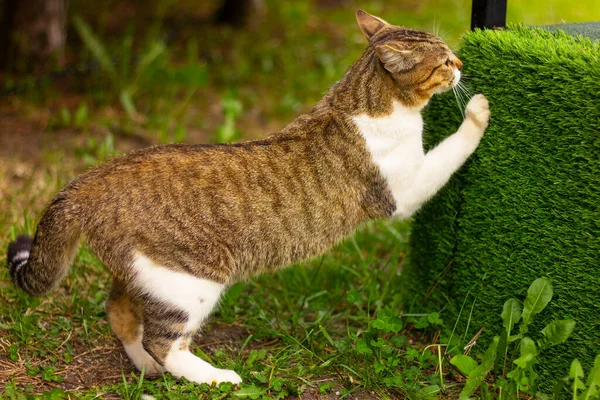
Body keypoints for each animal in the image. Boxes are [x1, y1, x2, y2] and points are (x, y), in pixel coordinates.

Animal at [7, 9, 490, 384]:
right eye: (444, 60)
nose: (462, 61)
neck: (362, 102)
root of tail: (90, 179)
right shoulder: (404, 190)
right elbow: (450, 151)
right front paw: (477, 112)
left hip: (145, 272)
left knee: (121, 312)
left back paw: (146, 366)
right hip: (189, 282)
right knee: (163, 340)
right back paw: (215, 376)